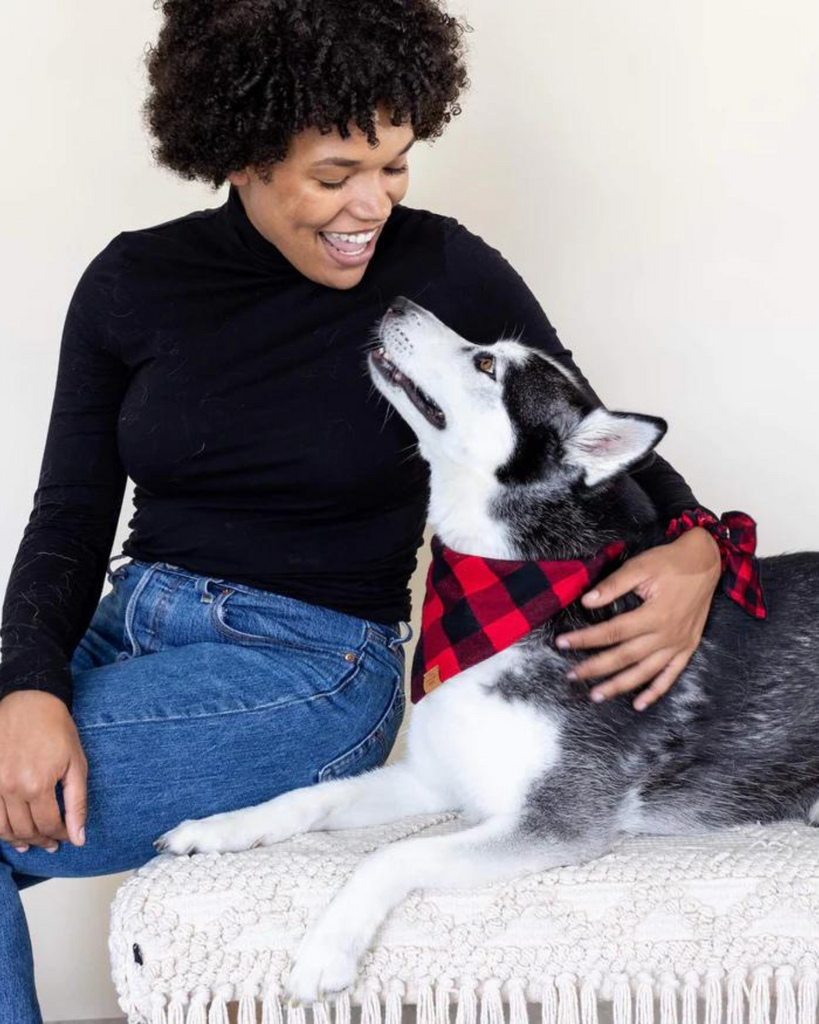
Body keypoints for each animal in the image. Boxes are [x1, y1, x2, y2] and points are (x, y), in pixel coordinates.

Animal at [158, 294, 818, 999]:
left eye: (485, 364)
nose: (397, 300)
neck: (498, 595)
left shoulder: (553, 822)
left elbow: (391, 854)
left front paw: (326, 949)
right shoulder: (432, 779)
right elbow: (309, 798)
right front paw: (220, 827)